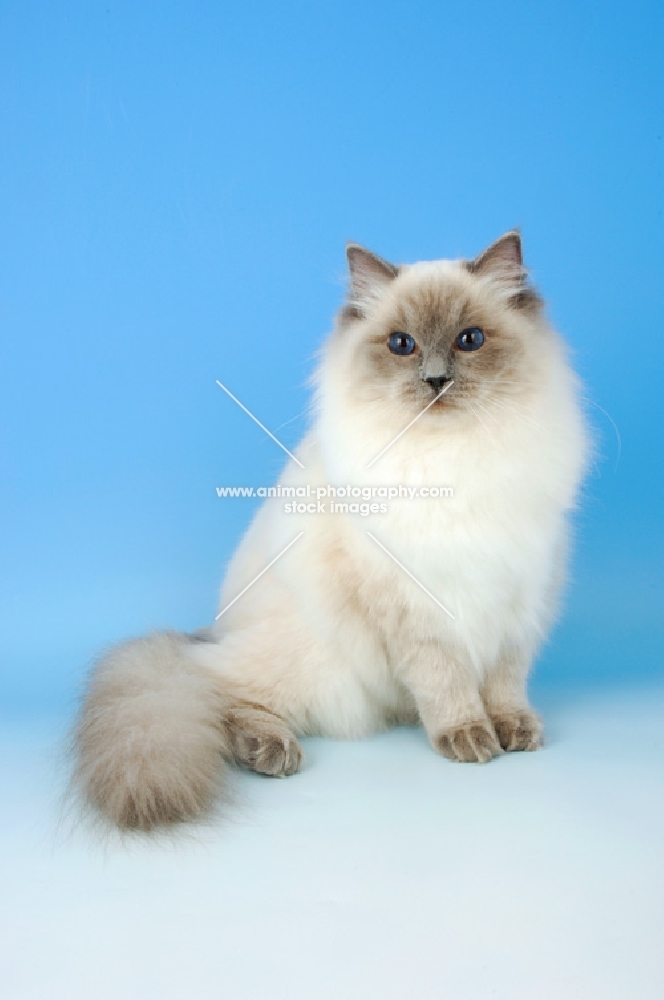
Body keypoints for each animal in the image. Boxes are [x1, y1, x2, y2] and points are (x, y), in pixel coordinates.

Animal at [75, 232, 588, 828]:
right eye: (401, 345)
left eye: (471, 340)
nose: (435, 380)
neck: (451, 458)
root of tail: (212, 632)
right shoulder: (413, 607)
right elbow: (446, 682)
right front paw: (468, 735)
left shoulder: (520, 594)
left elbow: (506, 682)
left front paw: (513, 730)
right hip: (313, 661)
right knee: (209, 690)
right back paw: (269, 751)